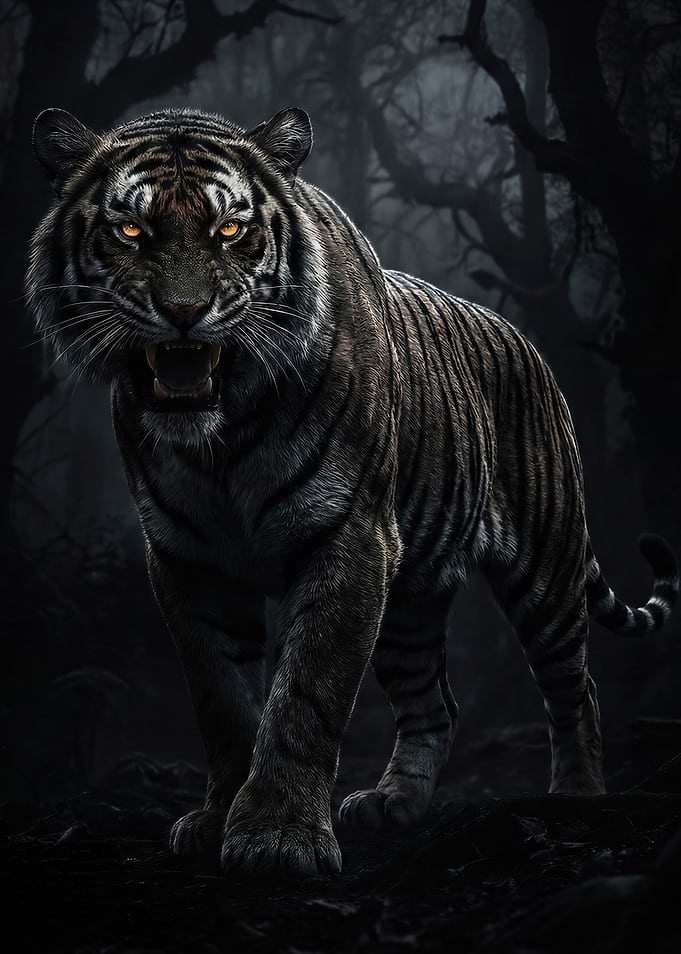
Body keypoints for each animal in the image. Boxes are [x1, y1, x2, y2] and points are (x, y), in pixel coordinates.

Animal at [27, 105, 678, 879]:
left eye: (230, 230)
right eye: (130, 230)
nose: (185, 312)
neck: (223, 435)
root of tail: (524, 340)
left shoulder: (348, 538)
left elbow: (306, 692)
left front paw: (278, 837)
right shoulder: (188, 558)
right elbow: (222, 697)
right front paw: (218, 820)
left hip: (545, 568)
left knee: (575, 686)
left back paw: (576, 795)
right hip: (410, 601)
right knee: (435, 704)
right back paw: (393, 802)